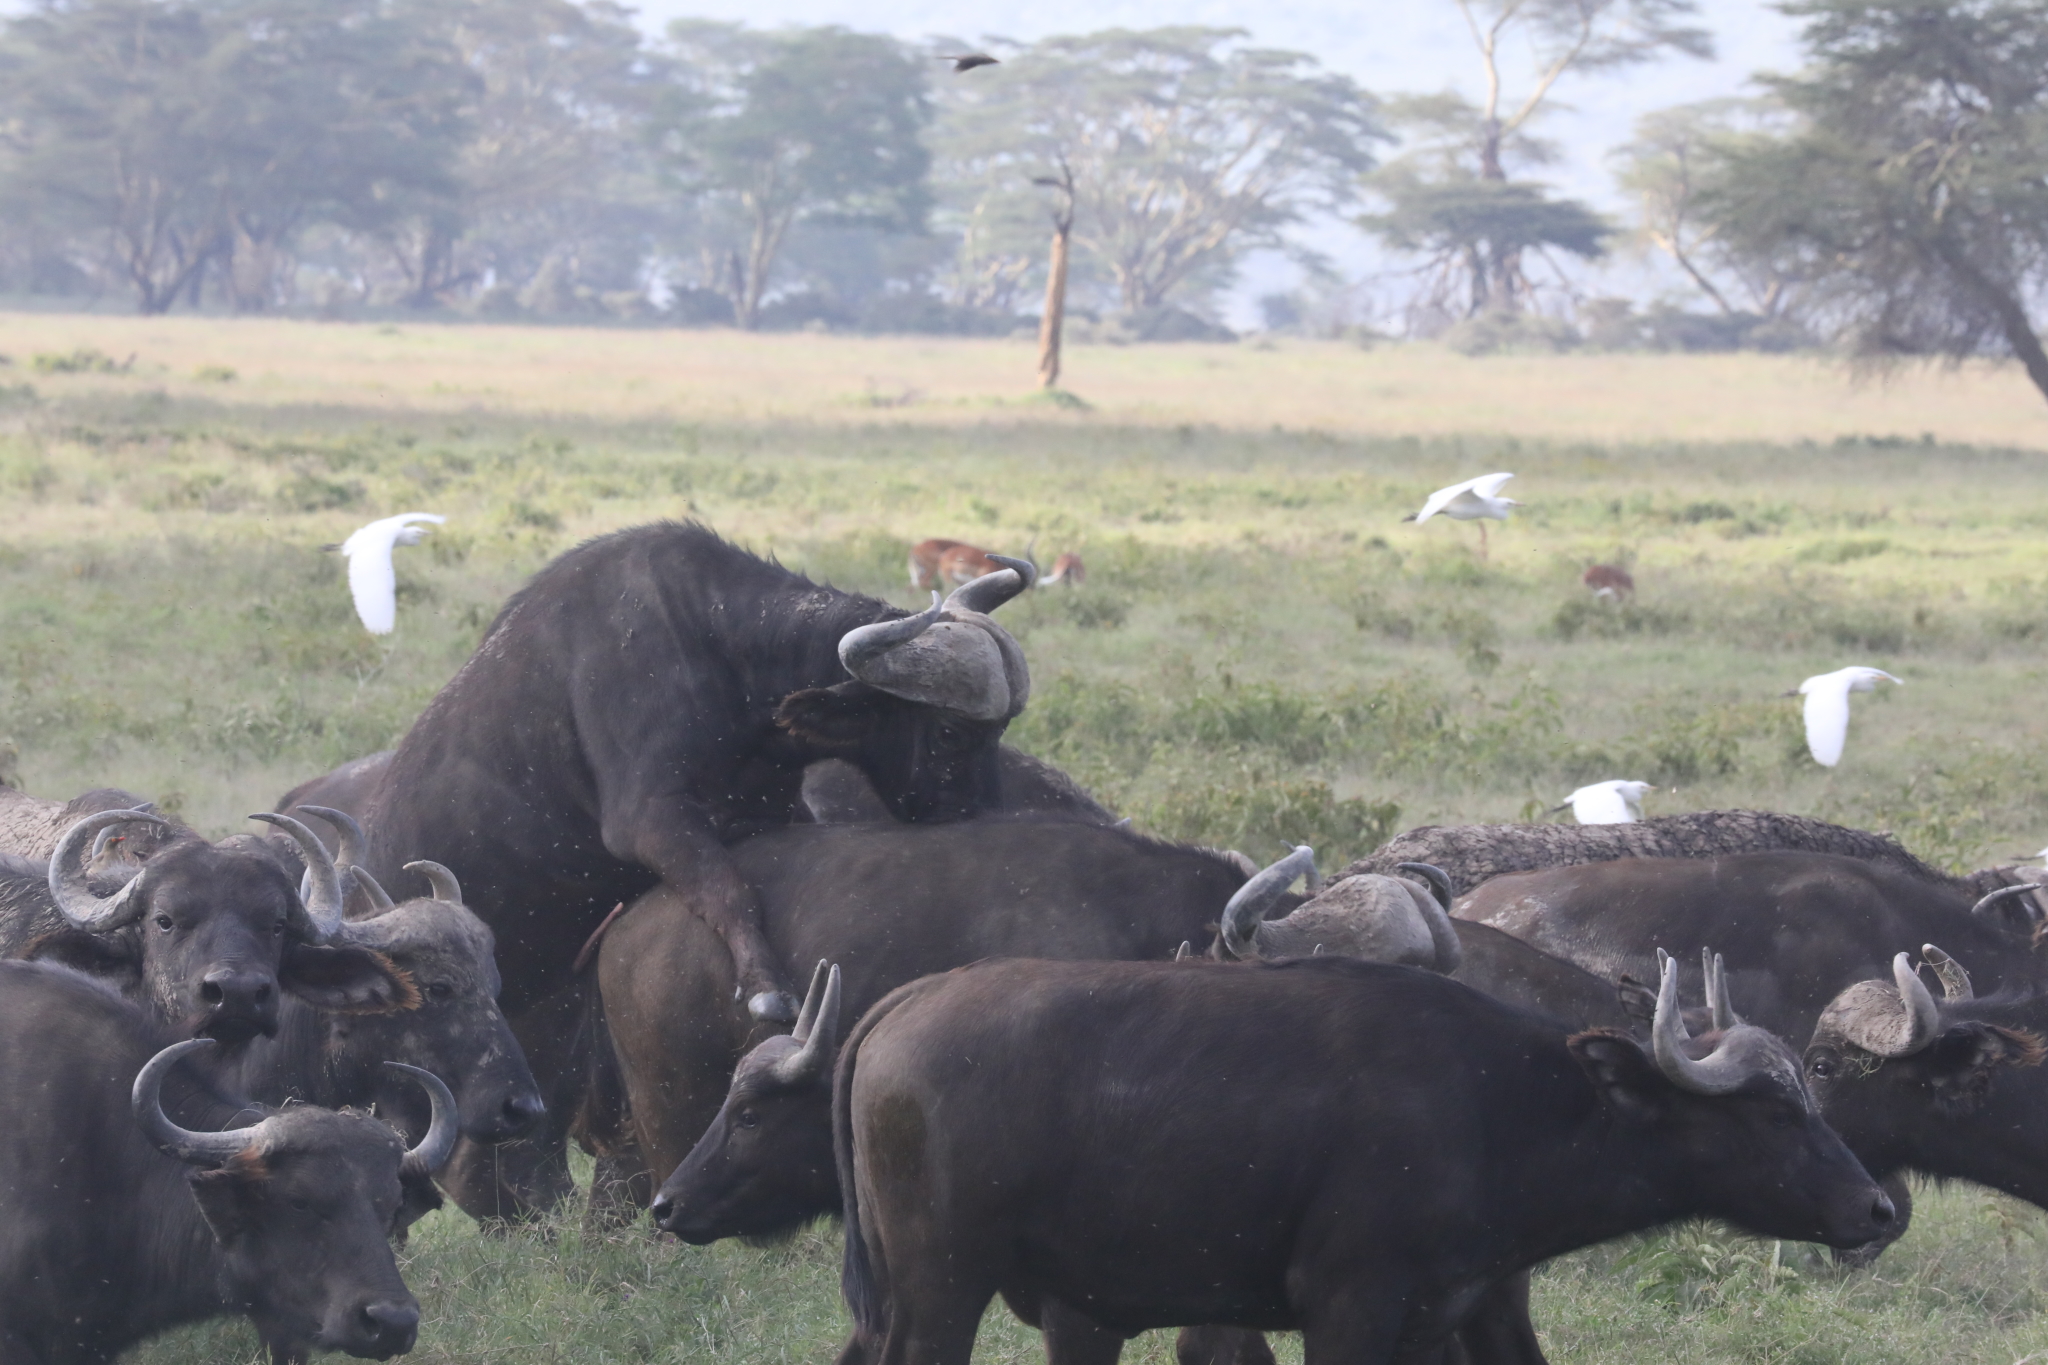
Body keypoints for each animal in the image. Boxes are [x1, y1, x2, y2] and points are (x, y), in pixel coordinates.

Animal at [348, 523, 1040, 1023]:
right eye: (949, 734)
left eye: (1003, 730)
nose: (983, 818)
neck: (717, 650)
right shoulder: (649, 819)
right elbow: (727, 887)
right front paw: (766, 988)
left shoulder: (773, 807)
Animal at [823, 957, 1892, 1365]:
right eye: (1772, 1107)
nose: (1879, 1210)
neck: (1494, 1110)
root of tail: (903, 1004)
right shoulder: (1349, 1309)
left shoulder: (1464, 1315)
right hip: (942, 1290)